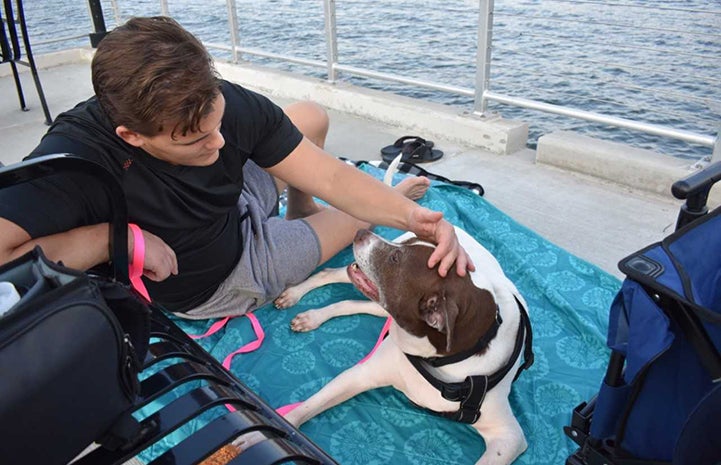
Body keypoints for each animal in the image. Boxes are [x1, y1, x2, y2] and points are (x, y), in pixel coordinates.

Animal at [276, 223, 536, 462]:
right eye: (403, 248)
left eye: (395, 258)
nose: (361, 232)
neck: (440, 361)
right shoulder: (361, 375)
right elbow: (300, 411)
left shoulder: (508, 436)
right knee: (328, 273)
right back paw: (296, 296)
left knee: (350, 303)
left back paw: (312, 317)